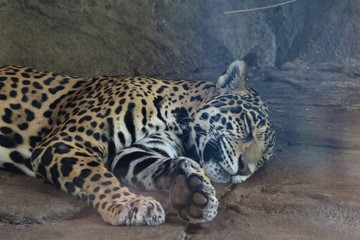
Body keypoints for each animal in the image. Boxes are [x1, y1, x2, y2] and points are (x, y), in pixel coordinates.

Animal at [0, 59, 274, 225]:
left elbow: (156, 165)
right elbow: (96, 175)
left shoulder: (133, 152)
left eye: (263, 159)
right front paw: (130, 204)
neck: (178, 120)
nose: (245, 169)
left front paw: (193, 191)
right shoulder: (67, 141)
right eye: (247, 124)